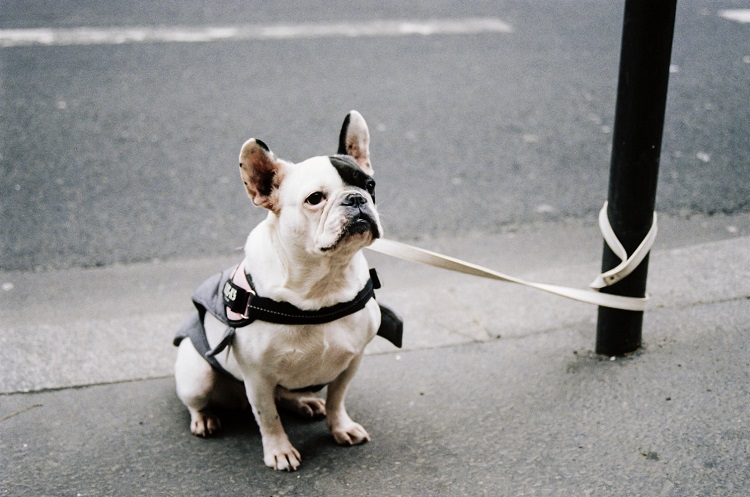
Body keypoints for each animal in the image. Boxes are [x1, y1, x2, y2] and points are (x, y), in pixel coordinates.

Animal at [176, 110, 402, 470]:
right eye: (315, 199)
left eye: (370, 185)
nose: (356, 199)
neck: (323, 281)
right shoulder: (257, 378)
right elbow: (268, 417)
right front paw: (279, 450)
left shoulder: (351, 360)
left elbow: (337, 398)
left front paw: (341, 427)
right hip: (197, 376)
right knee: (200, 400)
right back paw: (204, 418)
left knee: (288, 394)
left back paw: (306, 402)